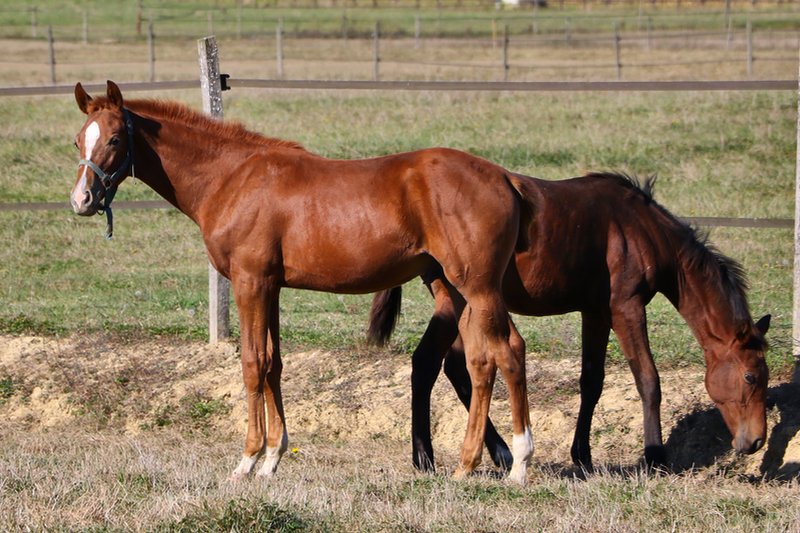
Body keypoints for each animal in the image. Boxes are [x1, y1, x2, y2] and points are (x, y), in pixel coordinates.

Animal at [69, 81, 541, 483]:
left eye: (115, 139)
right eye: (78, 140)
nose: (82, 200)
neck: (232, 178)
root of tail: (505, 178)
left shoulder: (249, 282)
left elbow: (252, 363)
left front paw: (248, 459)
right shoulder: (271, 287)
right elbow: (273, 363)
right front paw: (273, 458)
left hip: (478, 287)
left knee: (510, 351)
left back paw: (519, 463)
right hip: (457, 289)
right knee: (481, 362)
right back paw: (468, 463)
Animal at [368, 172, 770, 472]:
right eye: (751, 376)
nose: (756, 442)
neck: (641, 229)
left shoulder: (595, 311)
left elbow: (592, 381)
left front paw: (583, 457)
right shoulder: (626, 308)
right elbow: (648, 379)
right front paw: (655, 456)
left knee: (438, 365)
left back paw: (451, 456)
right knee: (440, 365)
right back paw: (463, 455)